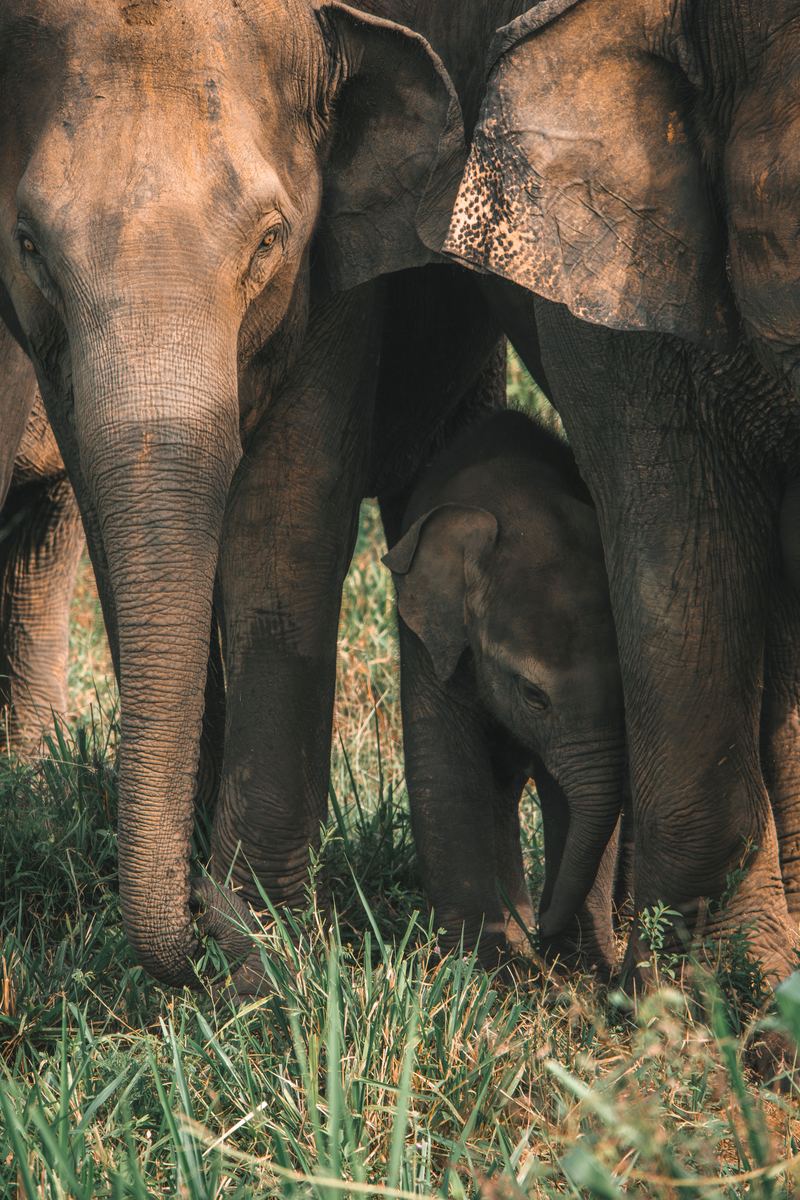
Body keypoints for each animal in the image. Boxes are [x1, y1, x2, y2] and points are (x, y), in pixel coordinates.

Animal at [383, 408, 625, 972]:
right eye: (534, 696)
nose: (545, 928)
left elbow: (570, 794)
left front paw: (588, 968)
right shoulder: (431, 635)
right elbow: (446, 768)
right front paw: (487, 971)